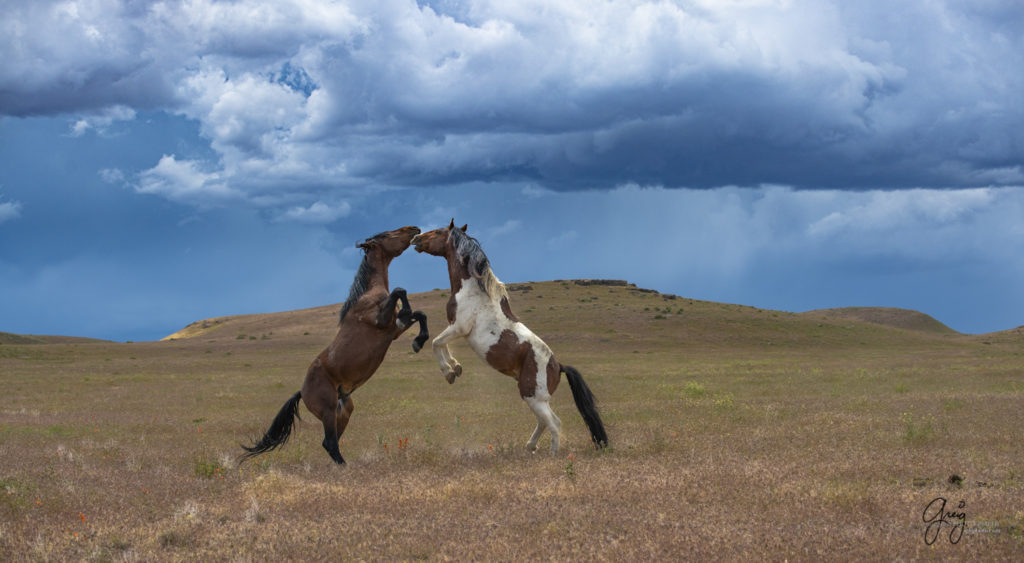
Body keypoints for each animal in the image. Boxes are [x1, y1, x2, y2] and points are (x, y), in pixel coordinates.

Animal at [239, 226, 428, 468]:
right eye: (386, 234)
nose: (414, 229)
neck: (368, 294)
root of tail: (302, 391)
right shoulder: (381, 322)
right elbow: (400, 291)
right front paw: (410, 321)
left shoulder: (393, 330)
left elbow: (419, 314)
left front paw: (419, 341)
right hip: (328, 410)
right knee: (330, 442)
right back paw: (346, 468)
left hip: (343, 410)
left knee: (331, 442)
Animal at [411, 221, 606, 454]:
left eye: (438, 232)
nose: (416, 239)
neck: (471, 291)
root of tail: (558, 365)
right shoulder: (456, 328)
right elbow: (443, 345)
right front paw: (456, 367)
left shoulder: (459, 327)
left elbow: (436, 343)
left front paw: (449, 373)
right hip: (536, 398)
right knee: (546, 421)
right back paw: (530, 447)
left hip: (532, 396)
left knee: (554, 423)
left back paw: (552, 453)